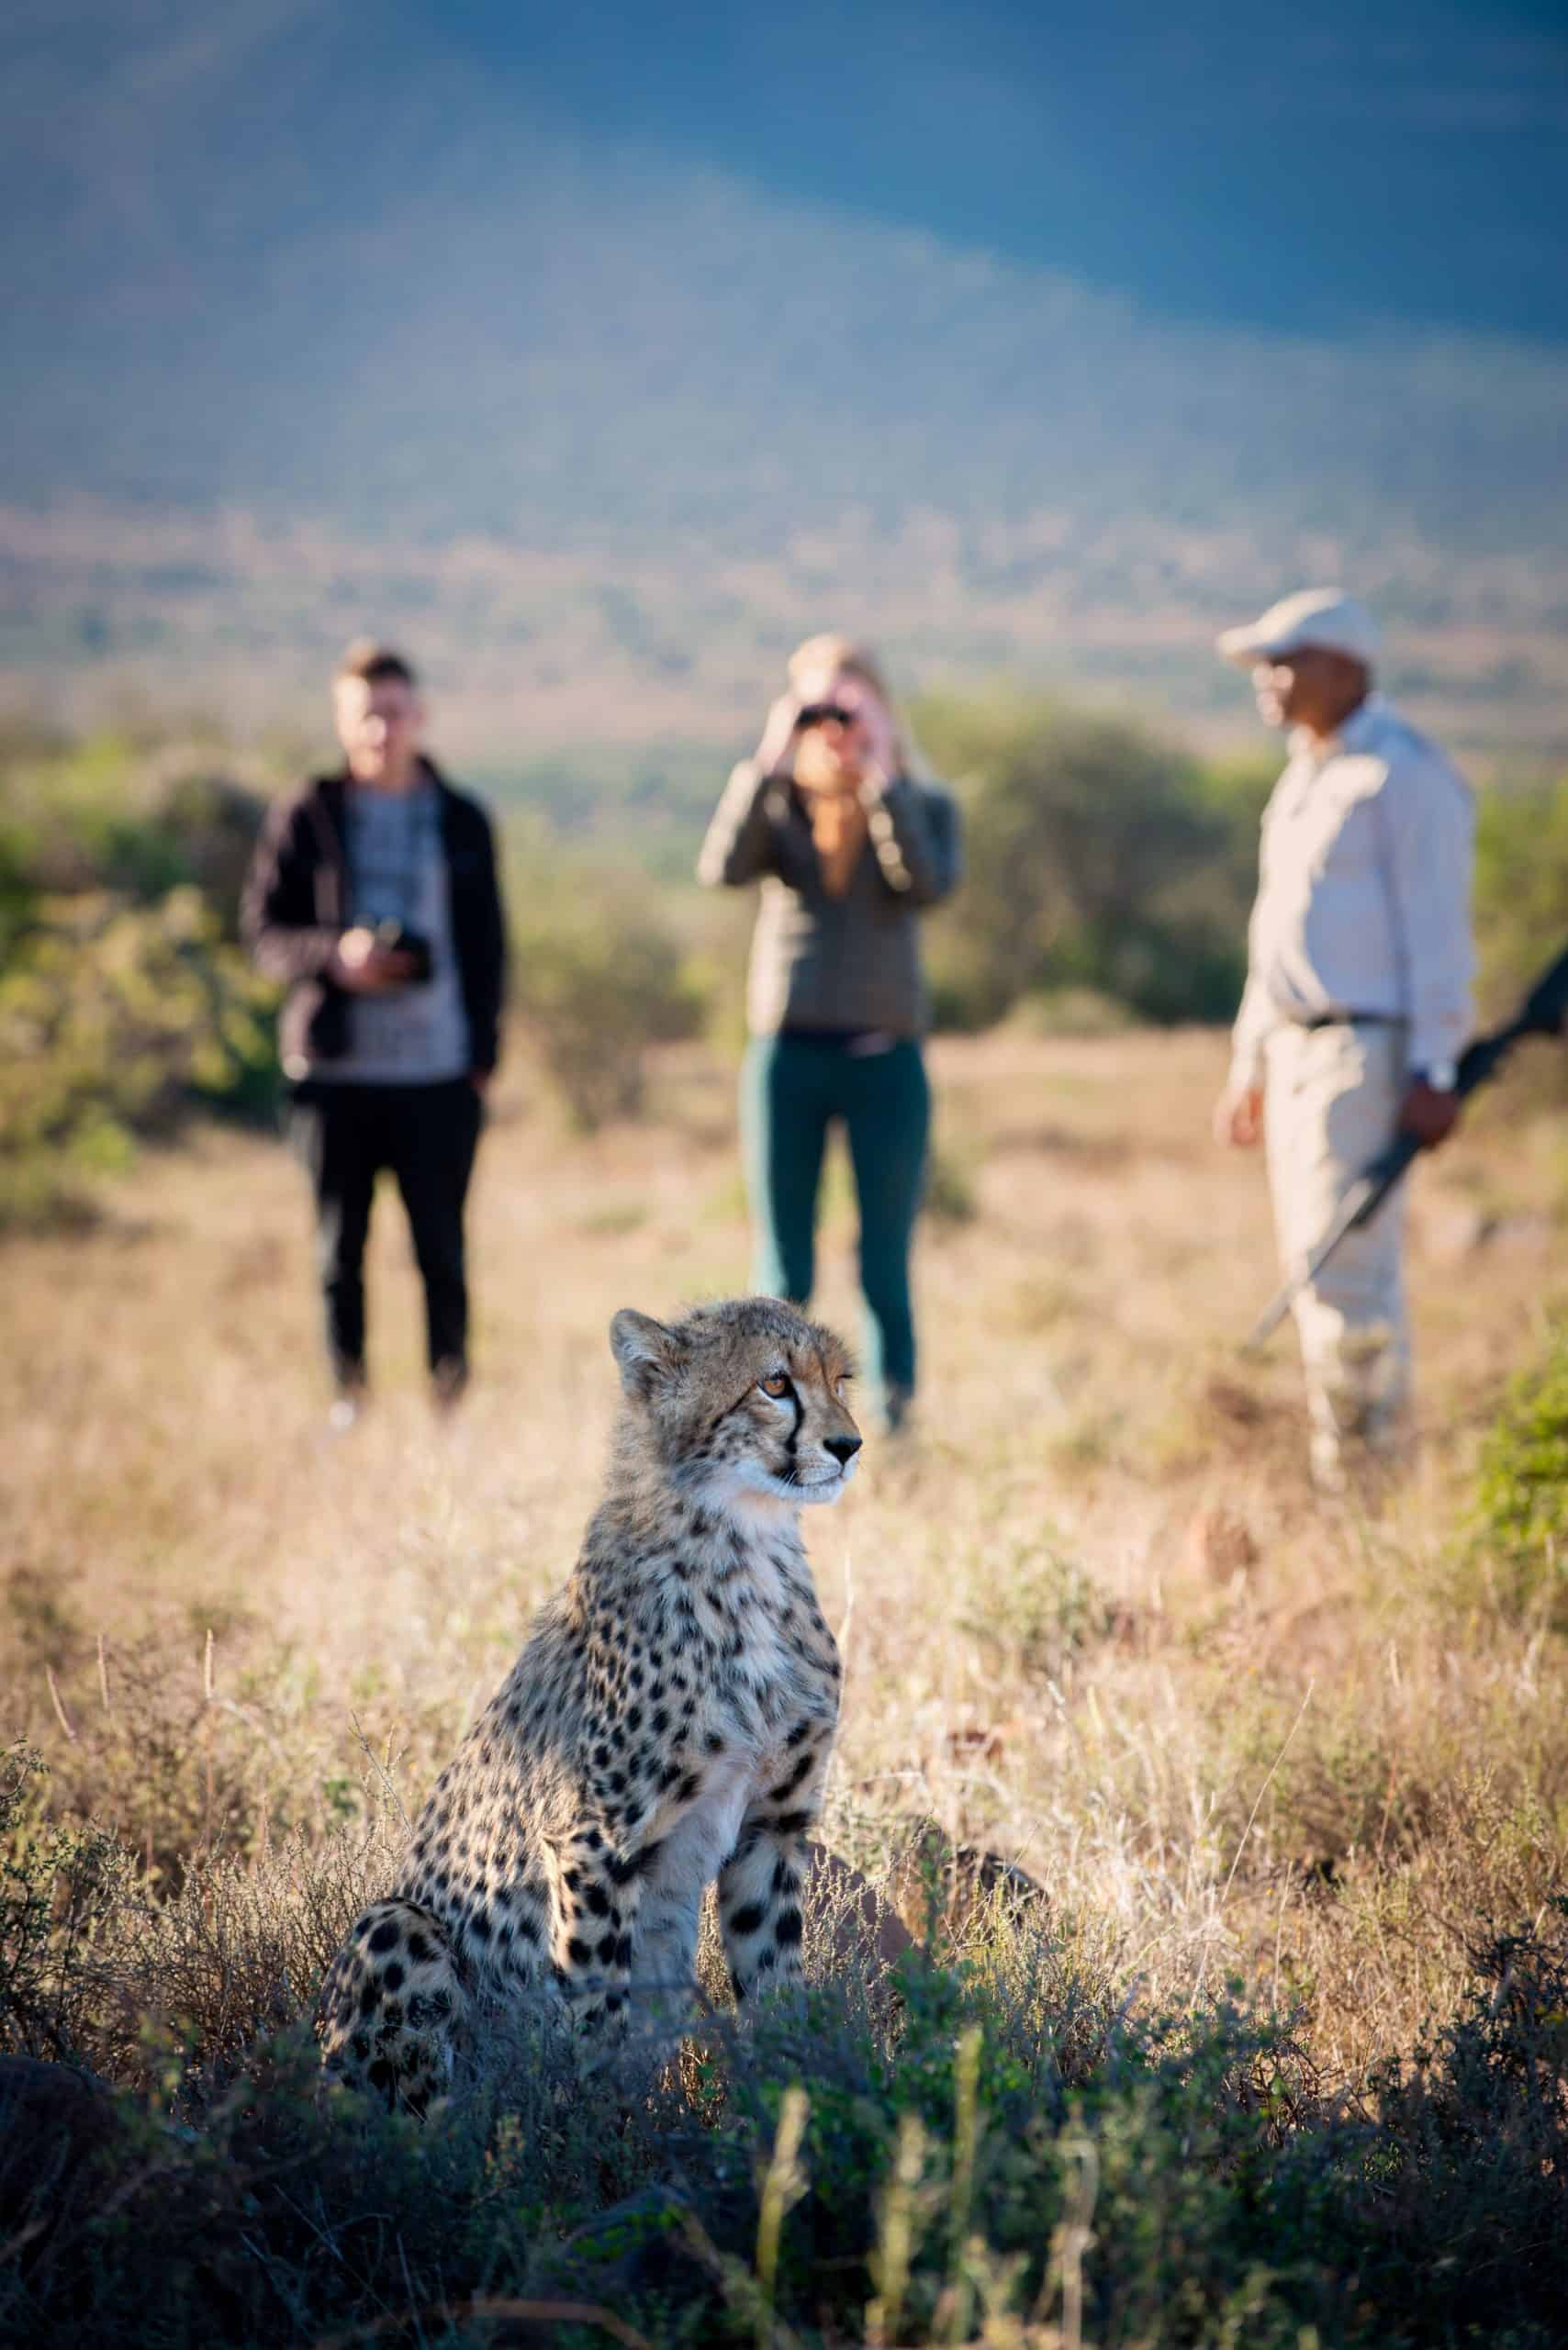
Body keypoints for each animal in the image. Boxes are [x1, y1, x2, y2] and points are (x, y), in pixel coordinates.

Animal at [318, 1294, 860, 2109]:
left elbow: (776, 1985)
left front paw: (798, 2100)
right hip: (398, 1923)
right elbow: (599, 2002)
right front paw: (596, 2124)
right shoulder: (593, 1837)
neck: (747, 1551)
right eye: (774, 1384)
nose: (850, 1444)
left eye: (840, 1379)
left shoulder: (773, 1826)